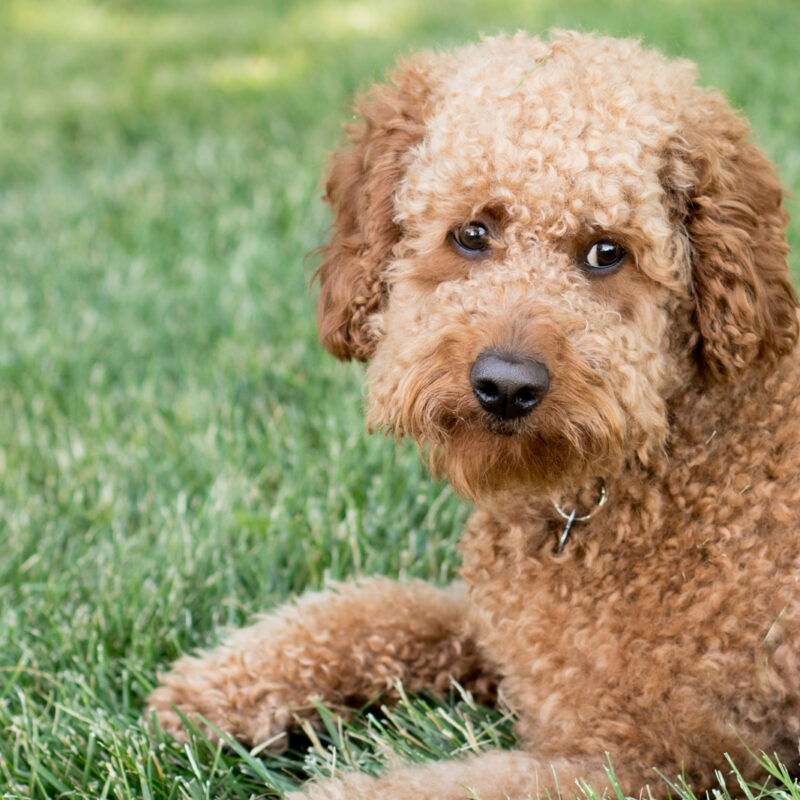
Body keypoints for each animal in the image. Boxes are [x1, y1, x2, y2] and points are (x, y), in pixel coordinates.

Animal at [148, 31, 800, 800]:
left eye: (607, 251)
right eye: (472, 234)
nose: (506, 386)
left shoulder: (651, 758)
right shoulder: (500, 633)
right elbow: (383, 609)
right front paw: (217, 686)